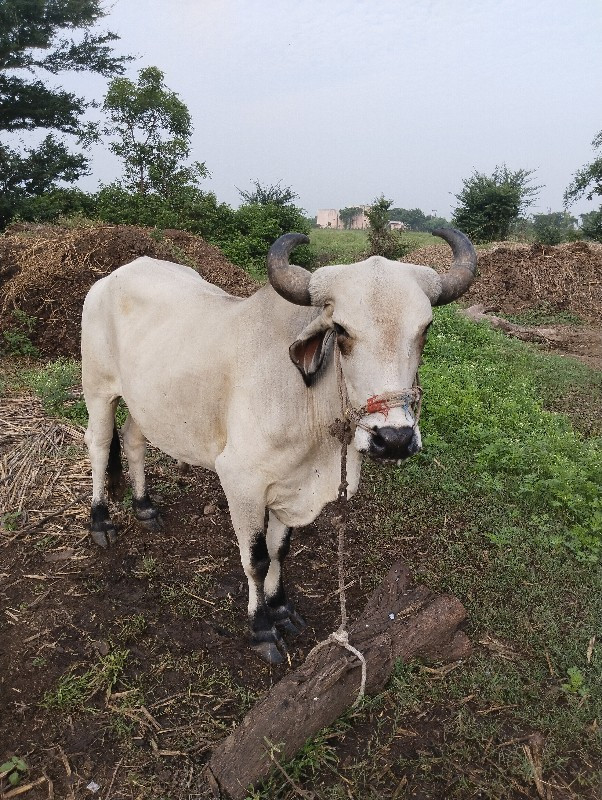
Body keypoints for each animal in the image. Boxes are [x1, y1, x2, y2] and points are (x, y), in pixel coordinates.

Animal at [81, 227, 474, 664]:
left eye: (425, 329)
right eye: (342, 330)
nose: (394, 439)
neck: (309, 409)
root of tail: (112, 277)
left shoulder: (291, 487)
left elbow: (280, 550)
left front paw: (282, 607)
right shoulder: (241, 482)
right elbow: (256, 559)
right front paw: (263, 627)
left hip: (146, 404)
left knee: (134, 442)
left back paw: (145, 507)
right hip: (98, 390)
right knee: (99, 445)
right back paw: (101, 521)